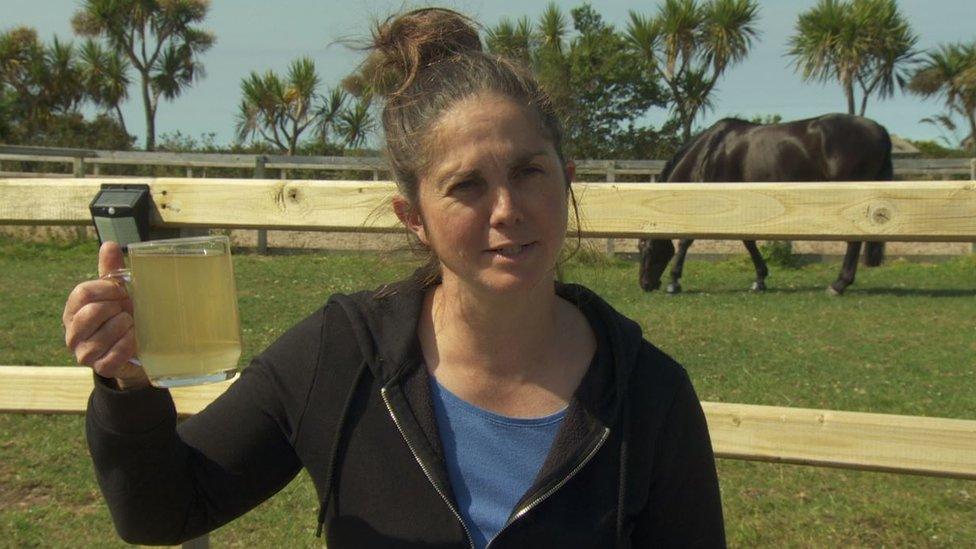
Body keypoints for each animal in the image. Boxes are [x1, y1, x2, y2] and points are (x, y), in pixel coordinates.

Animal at [636, 112, 896, 298]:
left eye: (644, 248)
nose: (645, 284)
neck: (710, 152)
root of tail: (880, 129)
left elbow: (686, 240)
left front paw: (674, 281)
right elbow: (748, 240)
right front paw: (760, 280)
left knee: (853, 240)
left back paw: (838, 285)